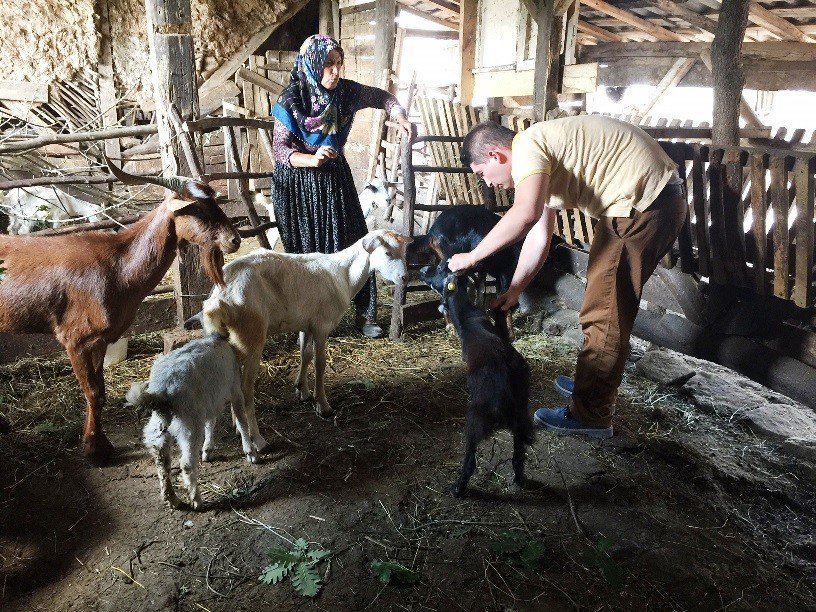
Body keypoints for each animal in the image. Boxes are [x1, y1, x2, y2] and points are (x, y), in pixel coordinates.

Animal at [0, 160, 239, 462]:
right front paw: (95, 449)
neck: (117, 266)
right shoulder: (75, 338)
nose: (234, 240)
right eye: (194, 209)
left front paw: (99, 443)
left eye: (214, 202)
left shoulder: (100, 339)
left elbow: (100, 391)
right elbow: (92, 393)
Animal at [126, 332, 260, 510]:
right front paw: (250, 452)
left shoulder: (210, 402)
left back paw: (172, 499)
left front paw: (208, 449)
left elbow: (211, 422)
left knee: (162, 461)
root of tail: (162, 392)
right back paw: (196, 499)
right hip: (189, 424)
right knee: (187, 463)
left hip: (158, 428)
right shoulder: (235, 390)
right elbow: (241, 420)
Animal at [201, 228, 412, 436]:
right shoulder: (321, 325)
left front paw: (302, 389)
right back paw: (254, 436)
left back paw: (238, 425)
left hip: (231, 338)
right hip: (251, 337)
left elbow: (305, 355)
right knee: (246, 388)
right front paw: (323, 405)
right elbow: (320, 363)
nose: (405, 278)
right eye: (387, 253)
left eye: (404, 252)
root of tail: (219, 300)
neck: (344, 275)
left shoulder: (306, 324)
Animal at [420, 260, 536, 498]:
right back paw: (520, 480)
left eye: (439, 269)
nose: (421, 270)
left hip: (475, 422)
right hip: (520, 420)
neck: (467, 314)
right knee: (518, 456)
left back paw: (458, 488)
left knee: (470, 461)